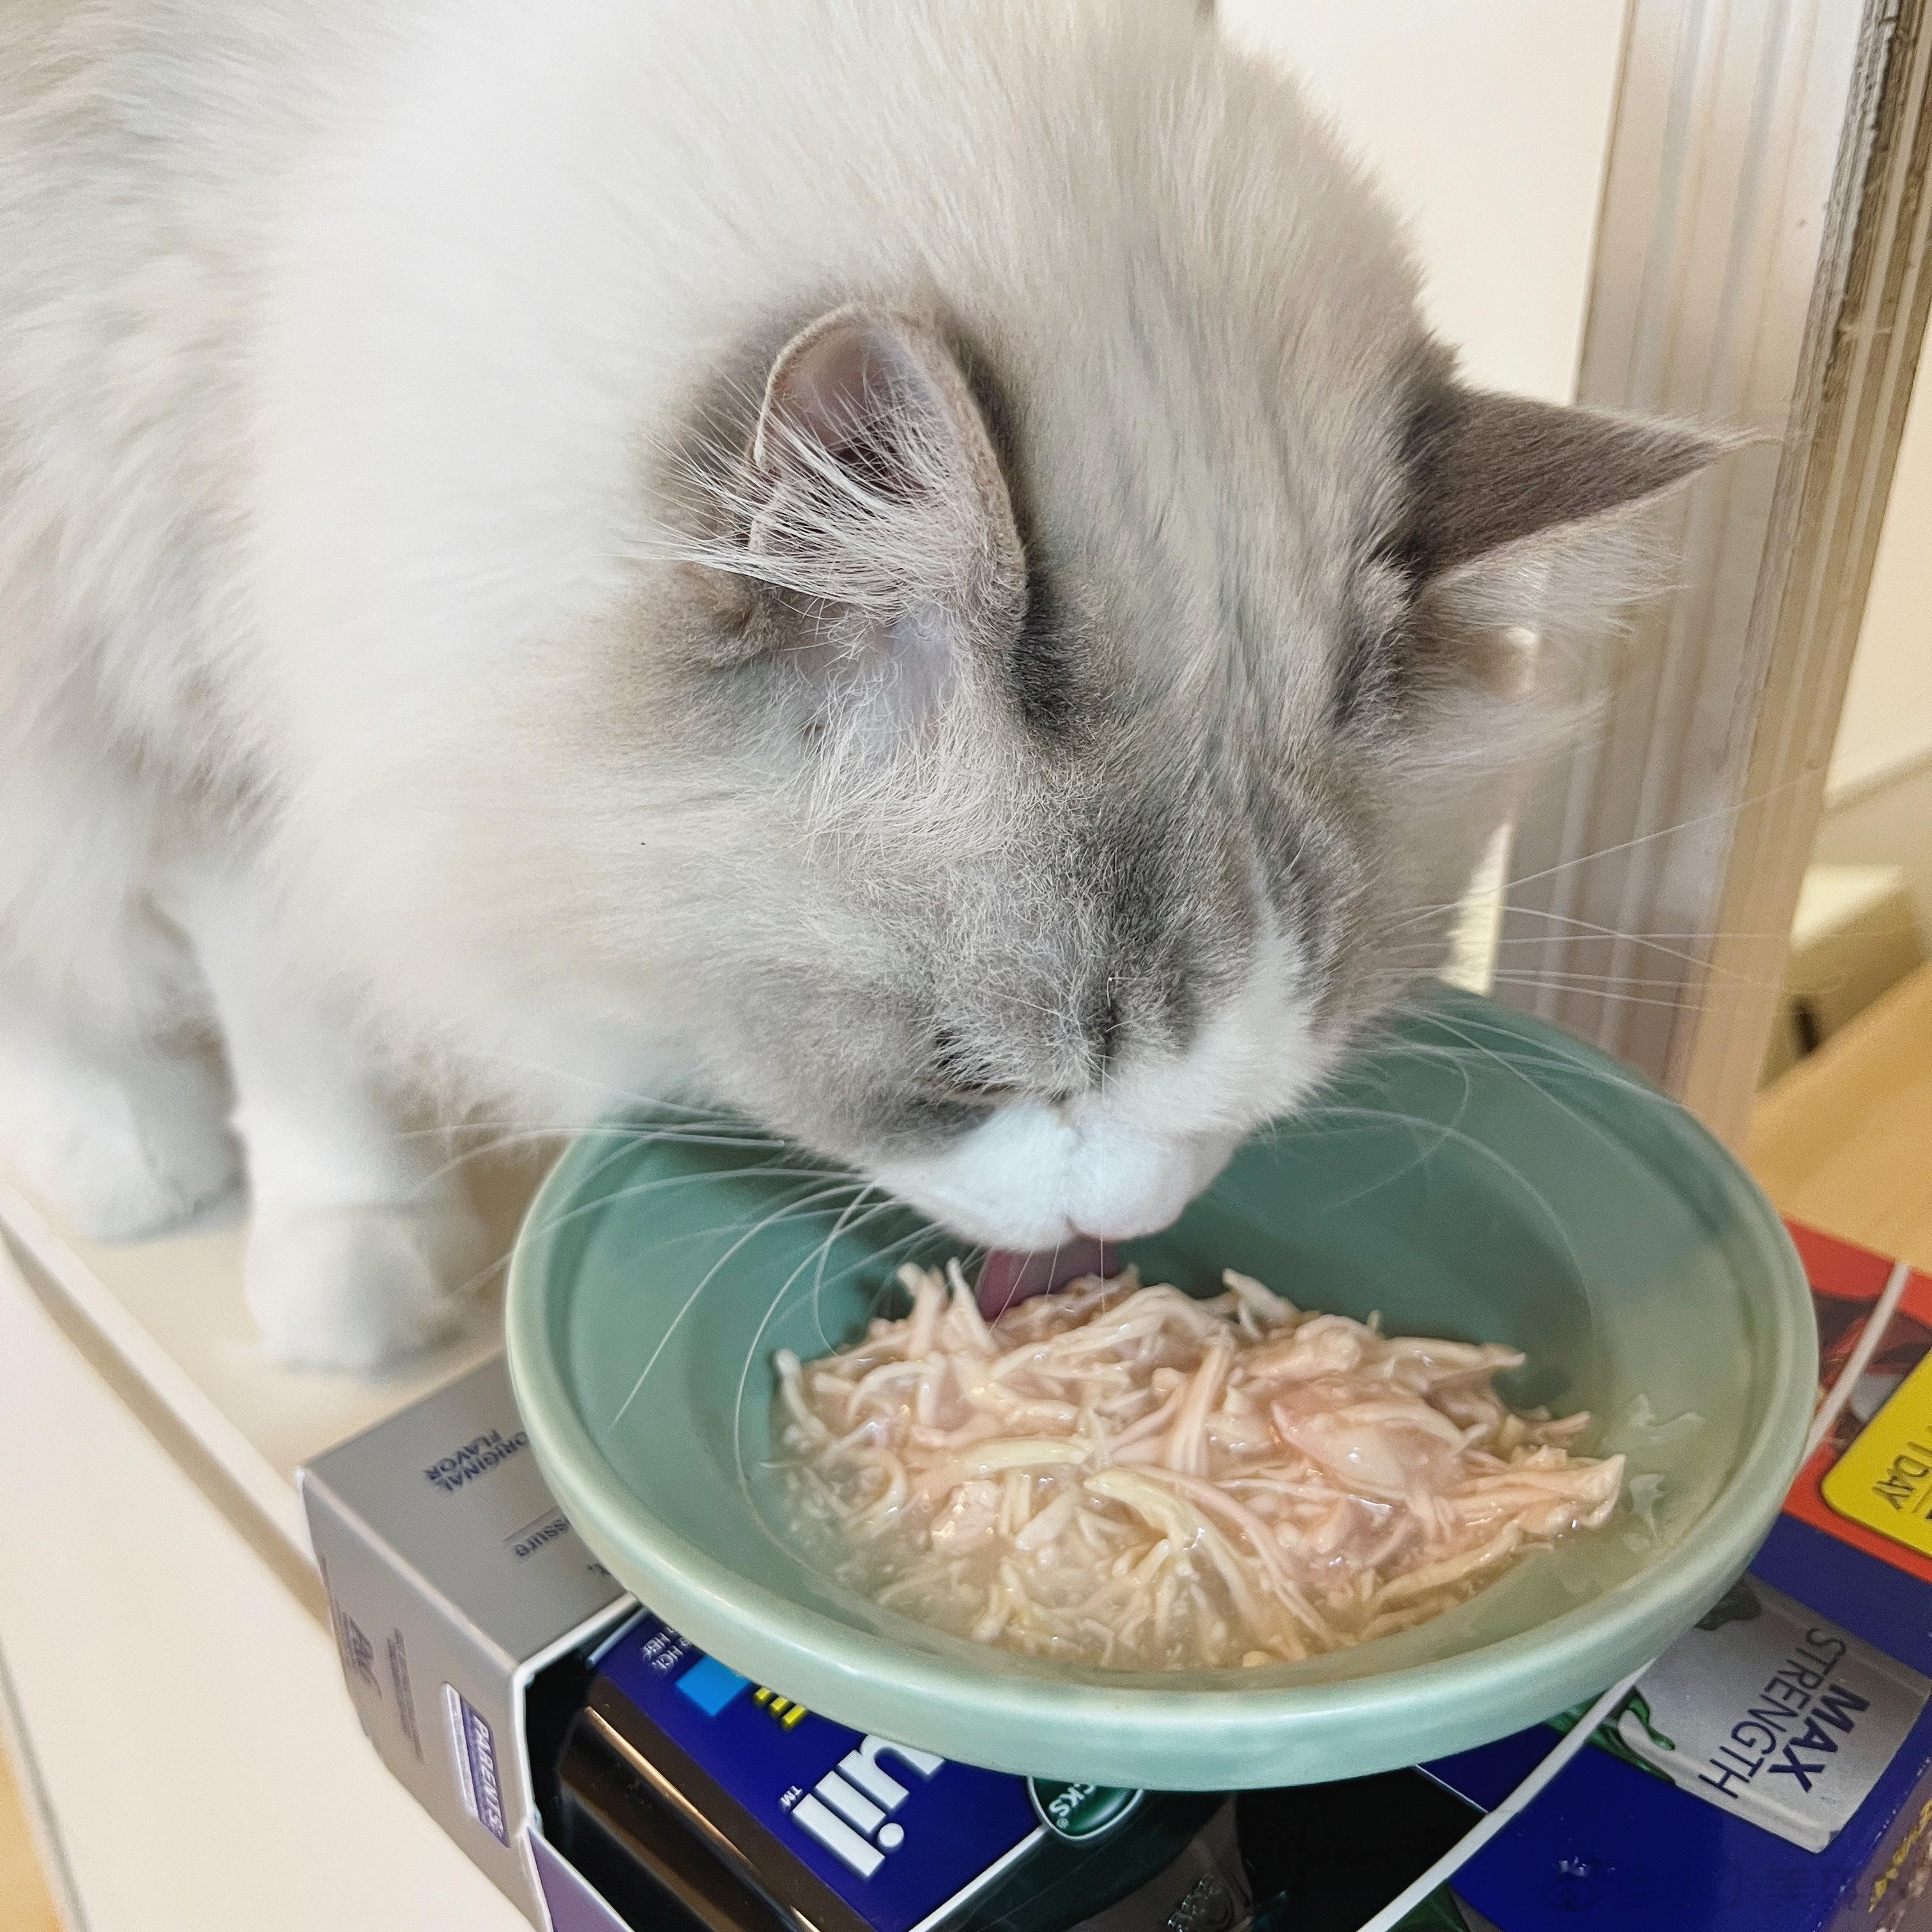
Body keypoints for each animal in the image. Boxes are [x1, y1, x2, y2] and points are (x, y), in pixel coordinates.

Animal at [0, 0, 1723, 1367]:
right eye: (976, 1073)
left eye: (1304, 1062)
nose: (1124, 1222)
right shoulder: (166, 641)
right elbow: (292, 1006)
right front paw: (352, 1265)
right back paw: (126, 1153)